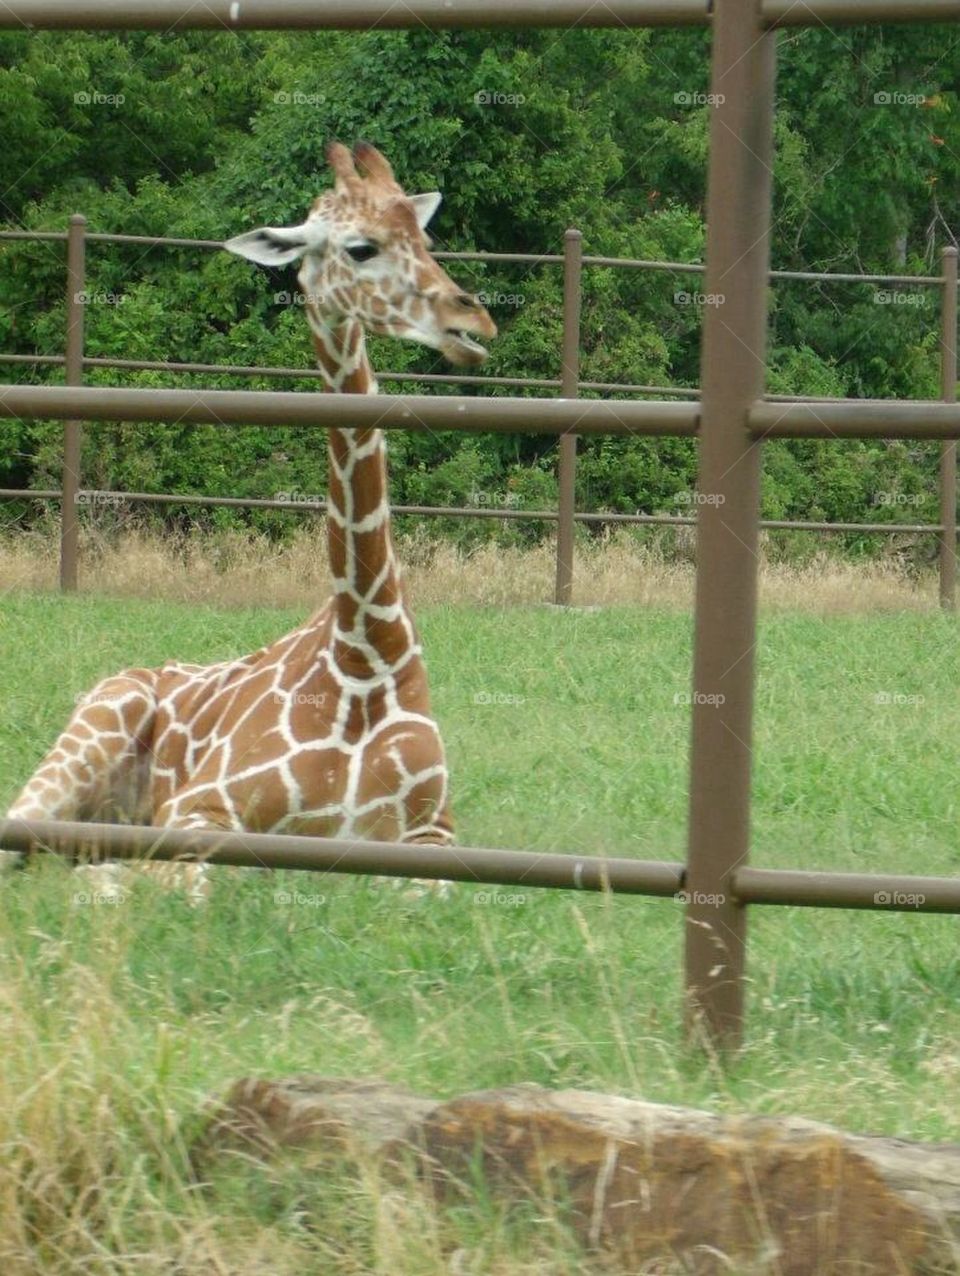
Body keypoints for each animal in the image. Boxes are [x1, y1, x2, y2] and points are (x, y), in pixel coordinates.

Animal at [3, 141, 496, 899]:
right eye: (360, 247)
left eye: (427, 241)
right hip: (90, 732)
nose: (472, 327)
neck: (366, 655)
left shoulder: (435, 838)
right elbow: (189, 881)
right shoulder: (198, 809)